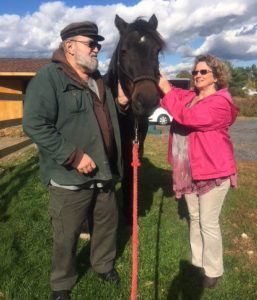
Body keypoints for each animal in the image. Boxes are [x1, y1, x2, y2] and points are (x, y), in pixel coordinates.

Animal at [104, 14, 164, 225]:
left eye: (157, 50)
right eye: (124, 50)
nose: (146, 101)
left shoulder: (134, 149)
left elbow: (130, 178)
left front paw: (130, 214)